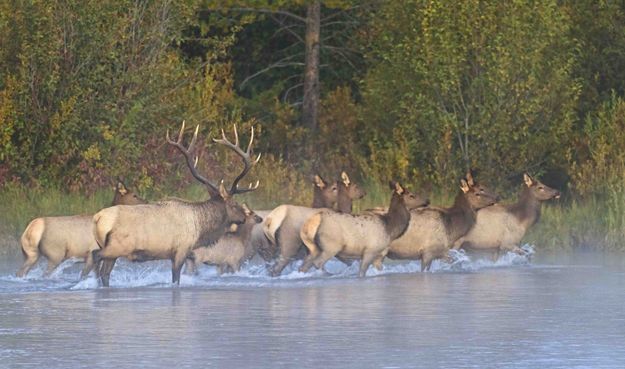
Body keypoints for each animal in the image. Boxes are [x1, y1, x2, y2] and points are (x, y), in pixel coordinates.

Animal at [16, 180, 145, 278]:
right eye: (134, 195)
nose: (146, 202)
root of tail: (30, 229)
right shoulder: (92, 251)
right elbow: (85, 274)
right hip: (55, 254)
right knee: (44, 274)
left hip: (31, 254)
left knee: (21, 272)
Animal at [91, 122, 260, 286]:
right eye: (234, 204)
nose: (243, 218)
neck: (201, 228)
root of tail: (97, 218)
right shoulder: (181, 250)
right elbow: (176, 279)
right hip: (117, 246)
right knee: (96, 259)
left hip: (109, 250)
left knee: (104, 274)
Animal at [298, 181, 428, 276]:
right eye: (412, 195)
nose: (427, 200)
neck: (390, 229)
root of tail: (314, 221)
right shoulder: (370, 250)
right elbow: (361, 272)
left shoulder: (379, 255)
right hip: (331, 245)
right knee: (317, 263)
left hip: (312, 246)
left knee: (303, 266)